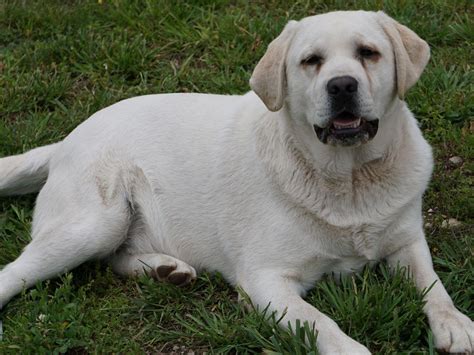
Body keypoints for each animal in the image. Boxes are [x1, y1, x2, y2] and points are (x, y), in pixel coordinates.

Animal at [0, 9, 474, 354]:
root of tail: (66, 139)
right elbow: (322, 323)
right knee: (17, 271)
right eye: (311, 61)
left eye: (368, 52)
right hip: (95, 221)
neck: (348, 178)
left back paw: (165, 270)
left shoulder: (406, 243)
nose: (342, 85)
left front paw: (454, 325)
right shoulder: (266, 280)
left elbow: (434, 287)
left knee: (114, 258)